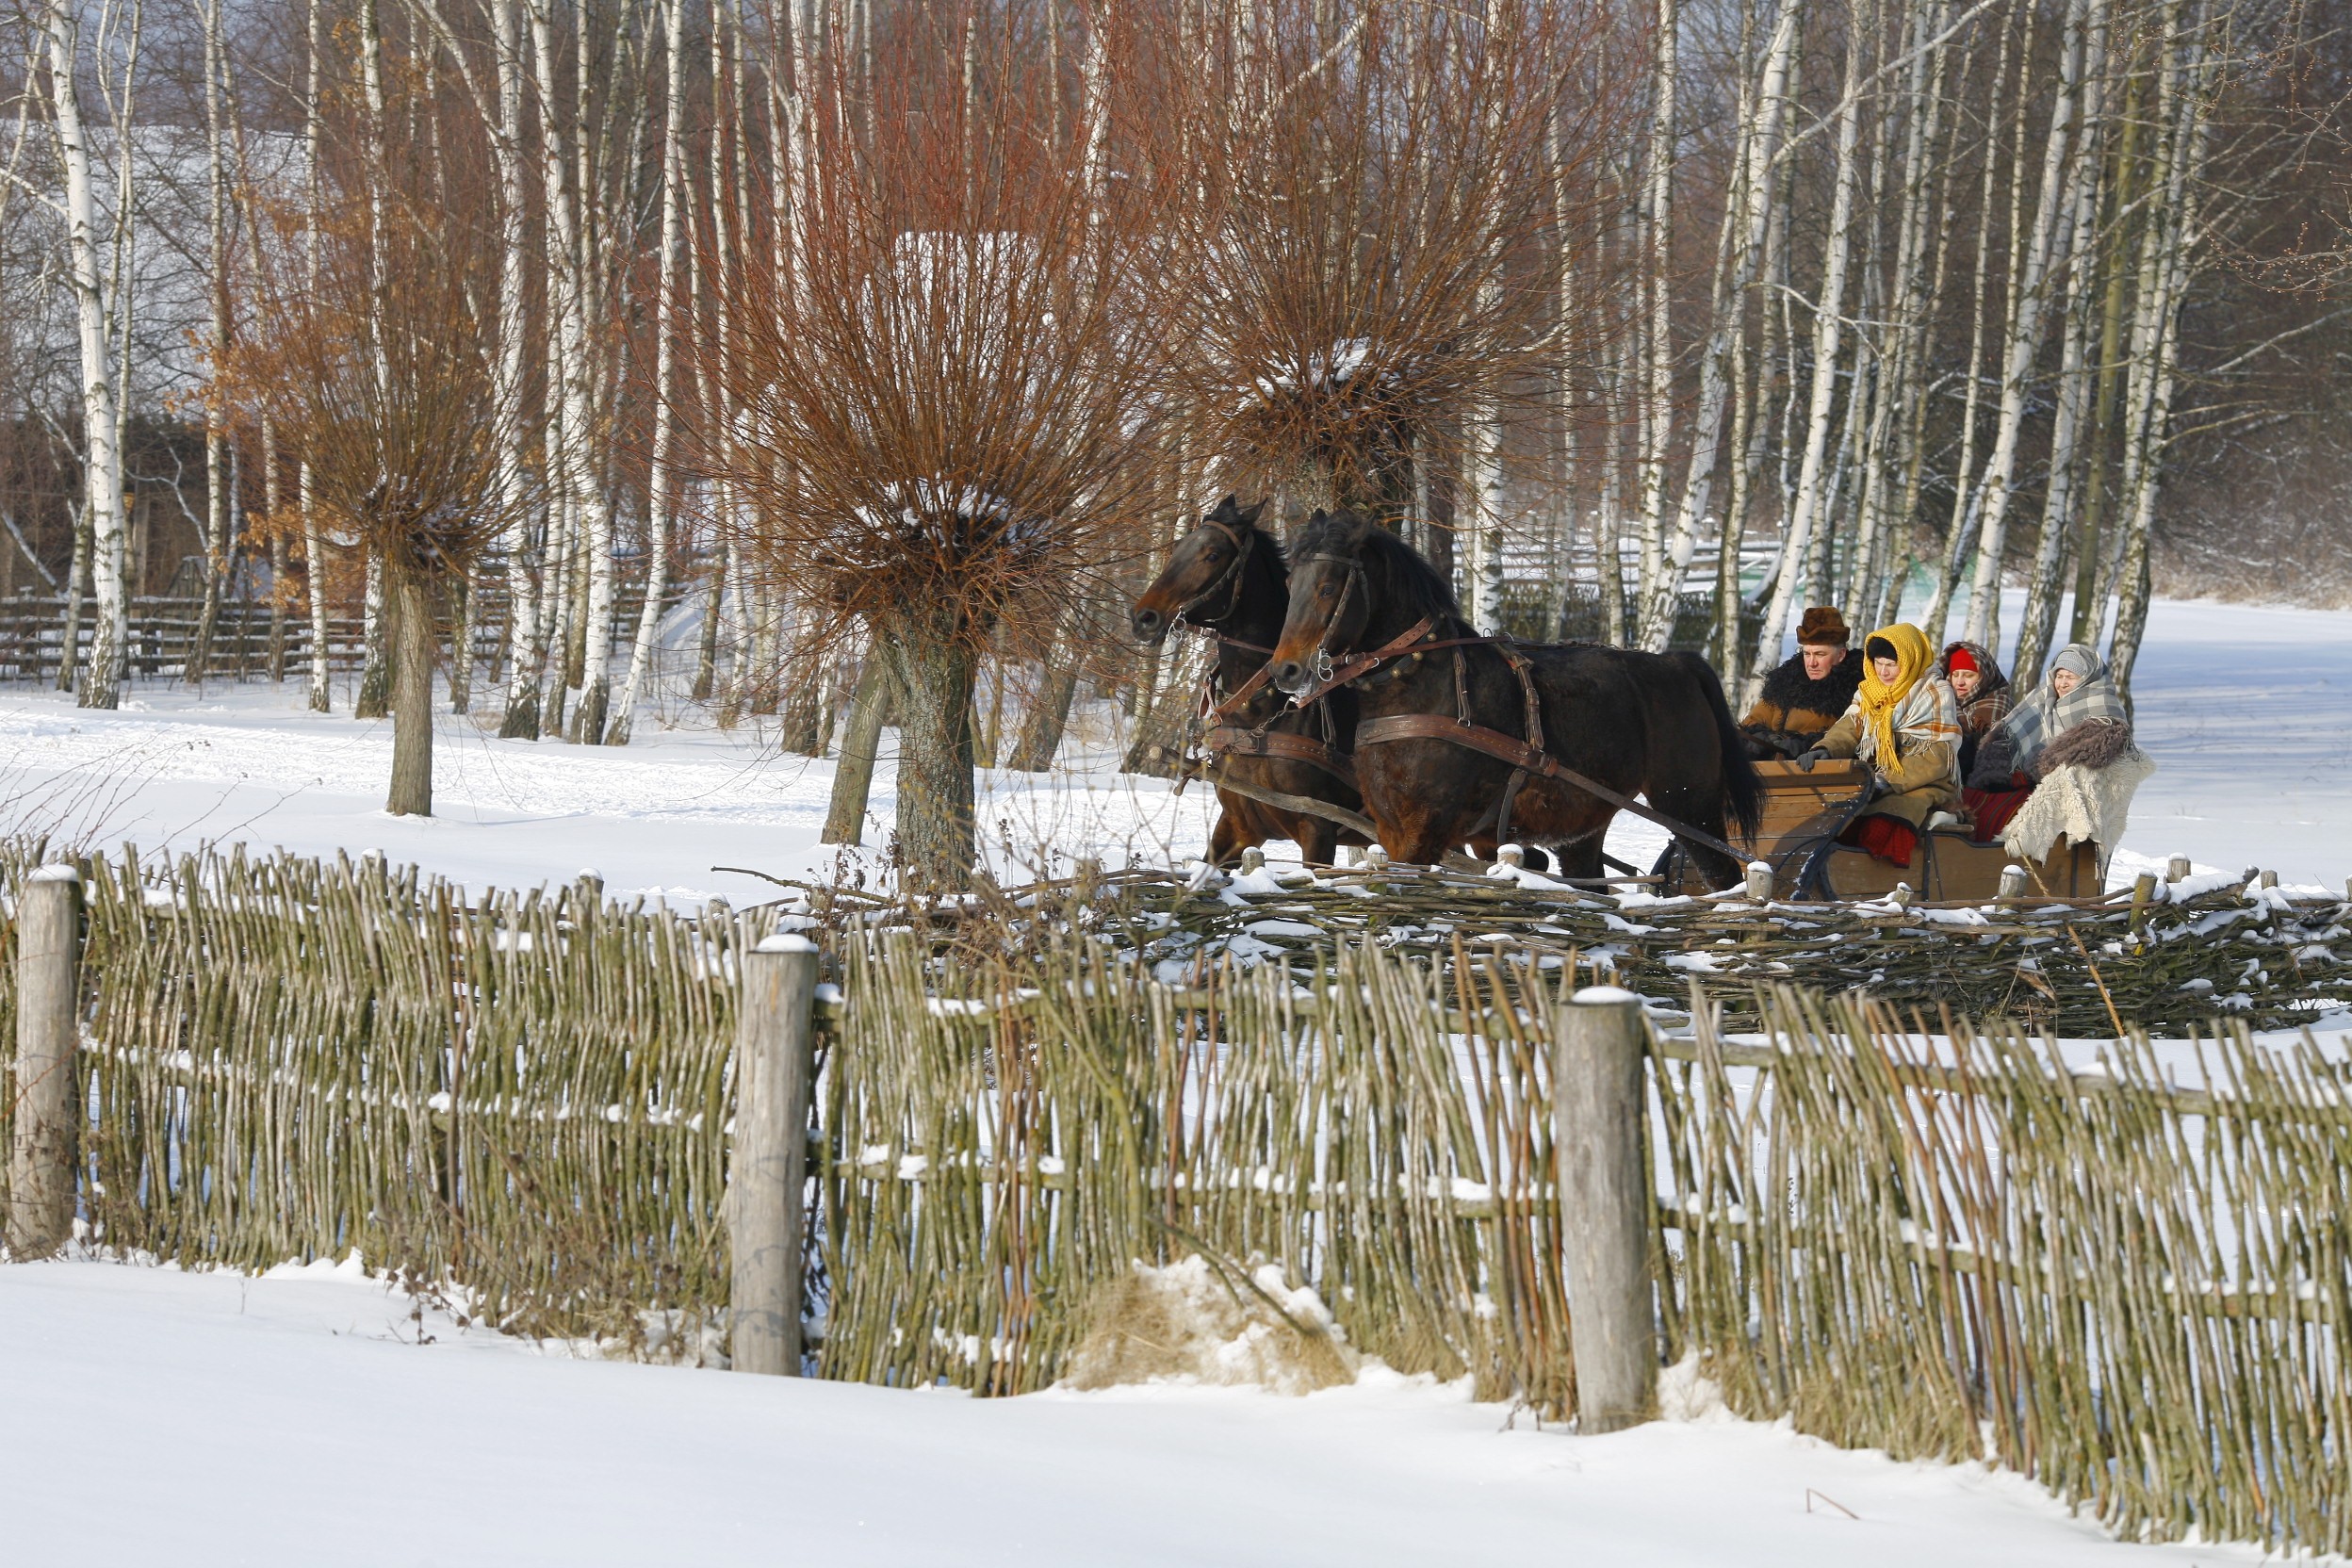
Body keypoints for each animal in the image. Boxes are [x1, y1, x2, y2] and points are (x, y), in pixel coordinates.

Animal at [1129, 500, 1373, 870]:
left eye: (1213, 555)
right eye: (1179, 547)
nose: (1143, 618)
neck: (1259, 717)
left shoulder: (1318, 829)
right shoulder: (1238, 826)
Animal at [1260, 512, 1759, 889]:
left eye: (1327, 588)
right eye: (1289, 585)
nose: (1286, 671)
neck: (1422, 688)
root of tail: (1678, 664)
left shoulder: (1423, 834)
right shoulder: (1392, 829)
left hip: (1689, 806)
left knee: (1725, 878)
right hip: (1583, 825)